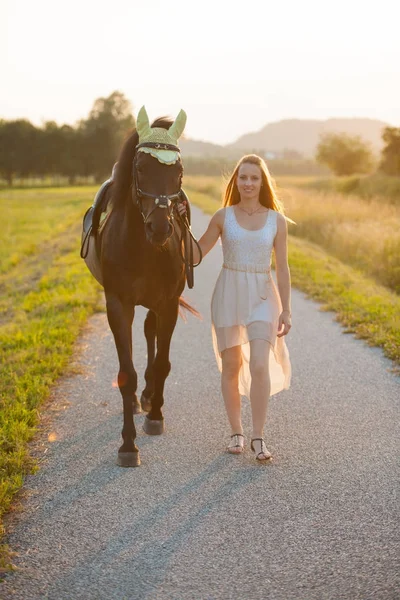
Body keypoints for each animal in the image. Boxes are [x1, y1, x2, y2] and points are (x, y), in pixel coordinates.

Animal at [87, 113, 200, 468]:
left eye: (179, 170)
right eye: (139, 167)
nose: (160, 227)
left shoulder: (168, 303)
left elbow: (162, 363)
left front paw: (156, 416)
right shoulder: (117, 305)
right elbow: (127, 374)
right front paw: (127, 444)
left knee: (151, 331)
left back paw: (150, 399)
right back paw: (142, 400)